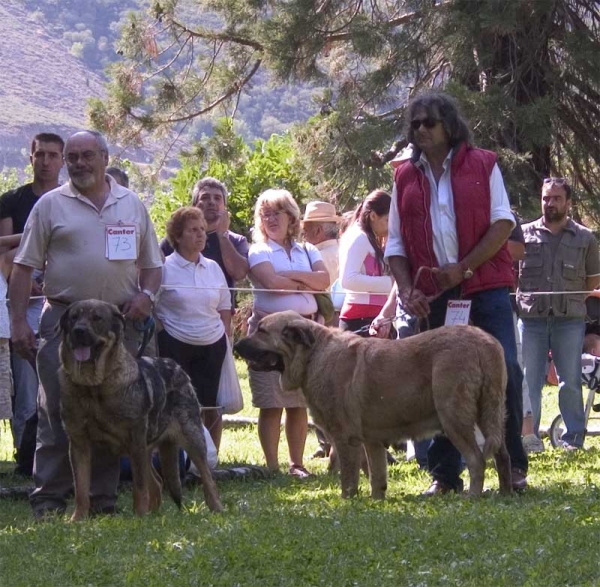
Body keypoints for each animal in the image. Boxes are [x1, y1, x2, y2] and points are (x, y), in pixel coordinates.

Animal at [58, 300, 223, 520]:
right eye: (73, 318)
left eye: (96, 318)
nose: (79, 331)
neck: (93, 385)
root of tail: (178, 367)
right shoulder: (79, 443)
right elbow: (81, 488)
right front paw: (77, 519)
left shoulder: (134, 438)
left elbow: (139, 486)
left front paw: (138, 516)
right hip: (147, 448)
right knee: (157, 482)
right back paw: (153, 515)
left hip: (190, 437)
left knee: (207, 478)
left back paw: (216, 509)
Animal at [234, 312, 510, 500]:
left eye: (261, 331)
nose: (236, 345)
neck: (313, 356)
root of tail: (485, 343)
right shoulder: (372, 441)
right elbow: (377, 476)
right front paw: (376, 501)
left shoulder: (345, 439)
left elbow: (348, 476)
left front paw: (348, 501)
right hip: (490, 415)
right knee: (502, 455)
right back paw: (506, 492)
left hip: (454, 418)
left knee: (476, 460)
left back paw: (473, 496)